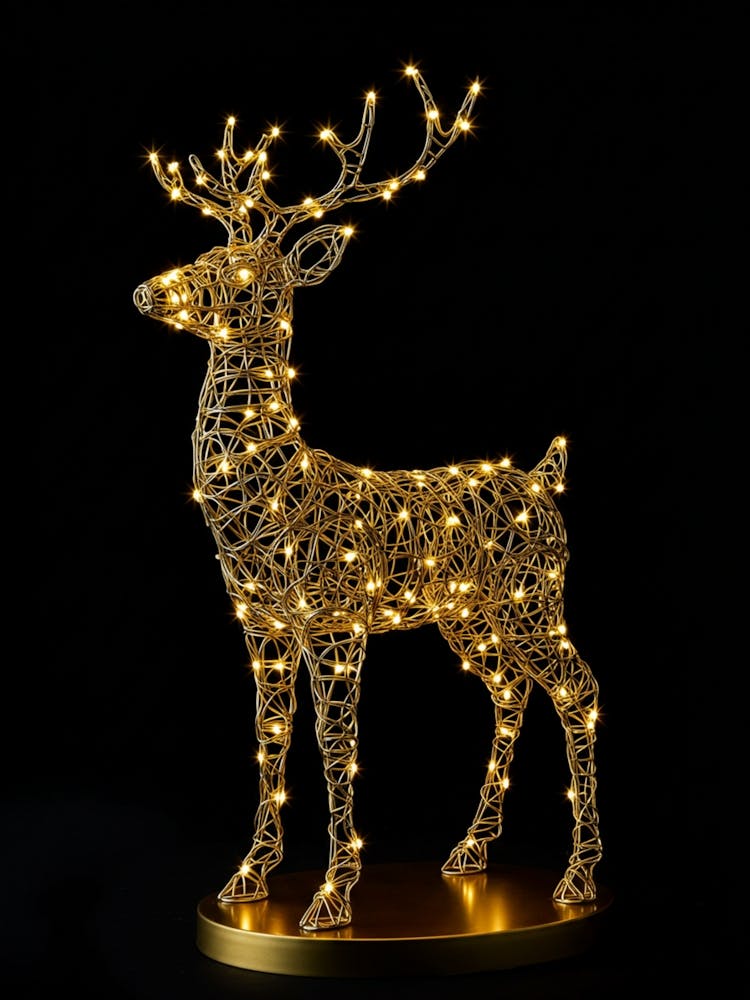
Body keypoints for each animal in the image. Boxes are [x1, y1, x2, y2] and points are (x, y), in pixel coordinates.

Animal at [133, 65, 602, 933]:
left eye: (245, 276)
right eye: (208, 248)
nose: (149, 291)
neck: (272, 502)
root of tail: (543, 476)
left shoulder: (335, 616)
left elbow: (337, 743)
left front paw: (330, 896)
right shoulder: (261, 620)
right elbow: (270, 736)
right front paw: (248, 876)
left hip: (532, 597)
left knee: (575, 687)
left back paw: (577, 877)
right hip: (468, 615)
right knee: (510, 688)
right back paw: (469, 850)